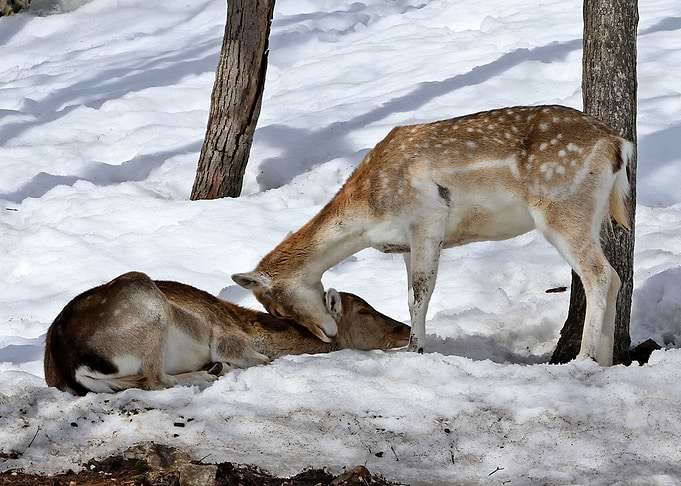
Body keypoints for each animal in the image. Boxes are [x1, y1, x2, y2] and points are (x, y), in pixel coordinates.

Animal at [44, 271, 410, 396]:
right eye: (364, 310)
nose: (406, 329)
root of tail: (69, 363)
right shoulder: (227, 338)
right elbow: (260, 359)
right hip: (146, 304)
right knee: (153, 379)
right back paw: (210, 373)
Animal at [232, 105, 633, 366]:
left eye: (278, 305)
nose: (326, 334)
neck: (368, 214)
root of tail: (618, 144)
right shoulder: (405, 244)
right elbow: (410, 295)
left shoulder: (428, 219)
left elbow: (421, 292)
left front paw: (417, 350)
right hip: (595, 215)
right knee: (615, 276)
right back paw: (608, 360)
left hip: (563, 209)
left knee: (598, 274)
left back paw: (583, 358)